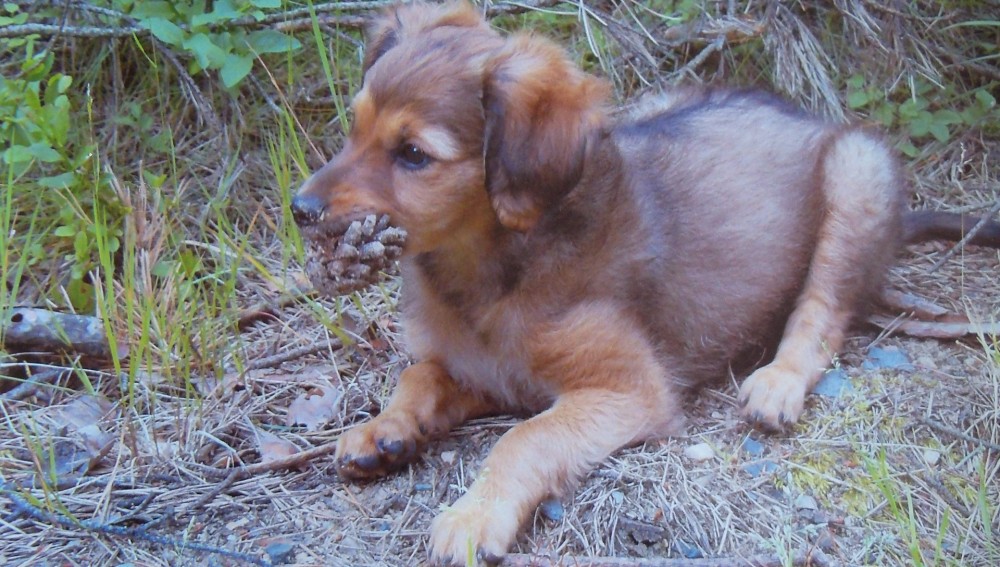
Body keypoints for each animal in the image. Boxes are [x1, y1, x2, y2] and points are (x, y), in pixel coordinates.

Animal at [291, 2, 998, 564]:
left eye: (413, 155)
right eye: (353, 127)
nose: (300, 210)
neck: (489, 274)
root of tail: (810, 119)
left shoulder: (628, 390)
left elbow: (527, 437)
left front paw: (472, 515)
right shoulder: (486, 373)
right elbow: (420, 375)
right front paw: (384, 431)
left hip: (858, 172)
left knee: (823, 307)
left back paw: (778, 379)